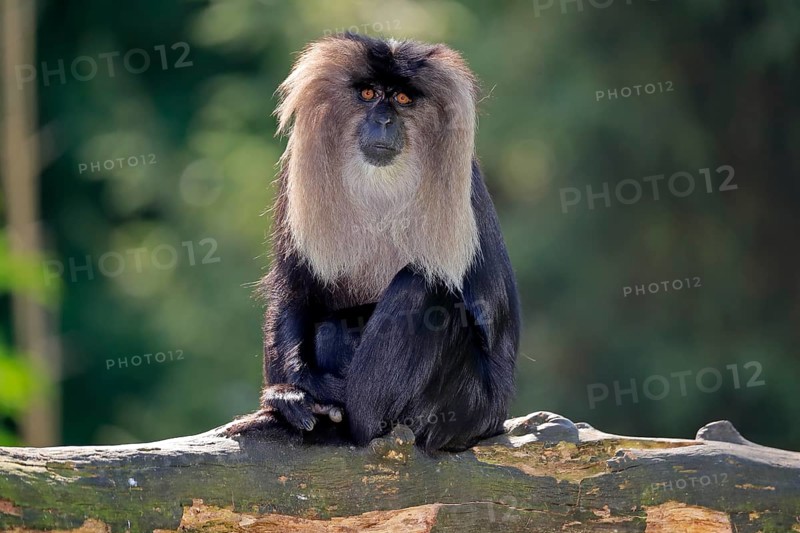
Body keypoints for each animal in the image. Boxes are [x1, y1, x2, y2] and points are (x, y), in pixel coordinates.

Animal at [225, 33, 520, 452]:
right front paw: (292, 393)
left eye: (402, 99)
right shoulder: (295, 176)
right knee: (331, 328)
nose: (383, 119)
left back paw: (343, 422)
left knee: (423, 286)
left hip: (468, 408)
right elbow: (294, 287)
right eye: (369, 93)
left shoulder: (466, 184)